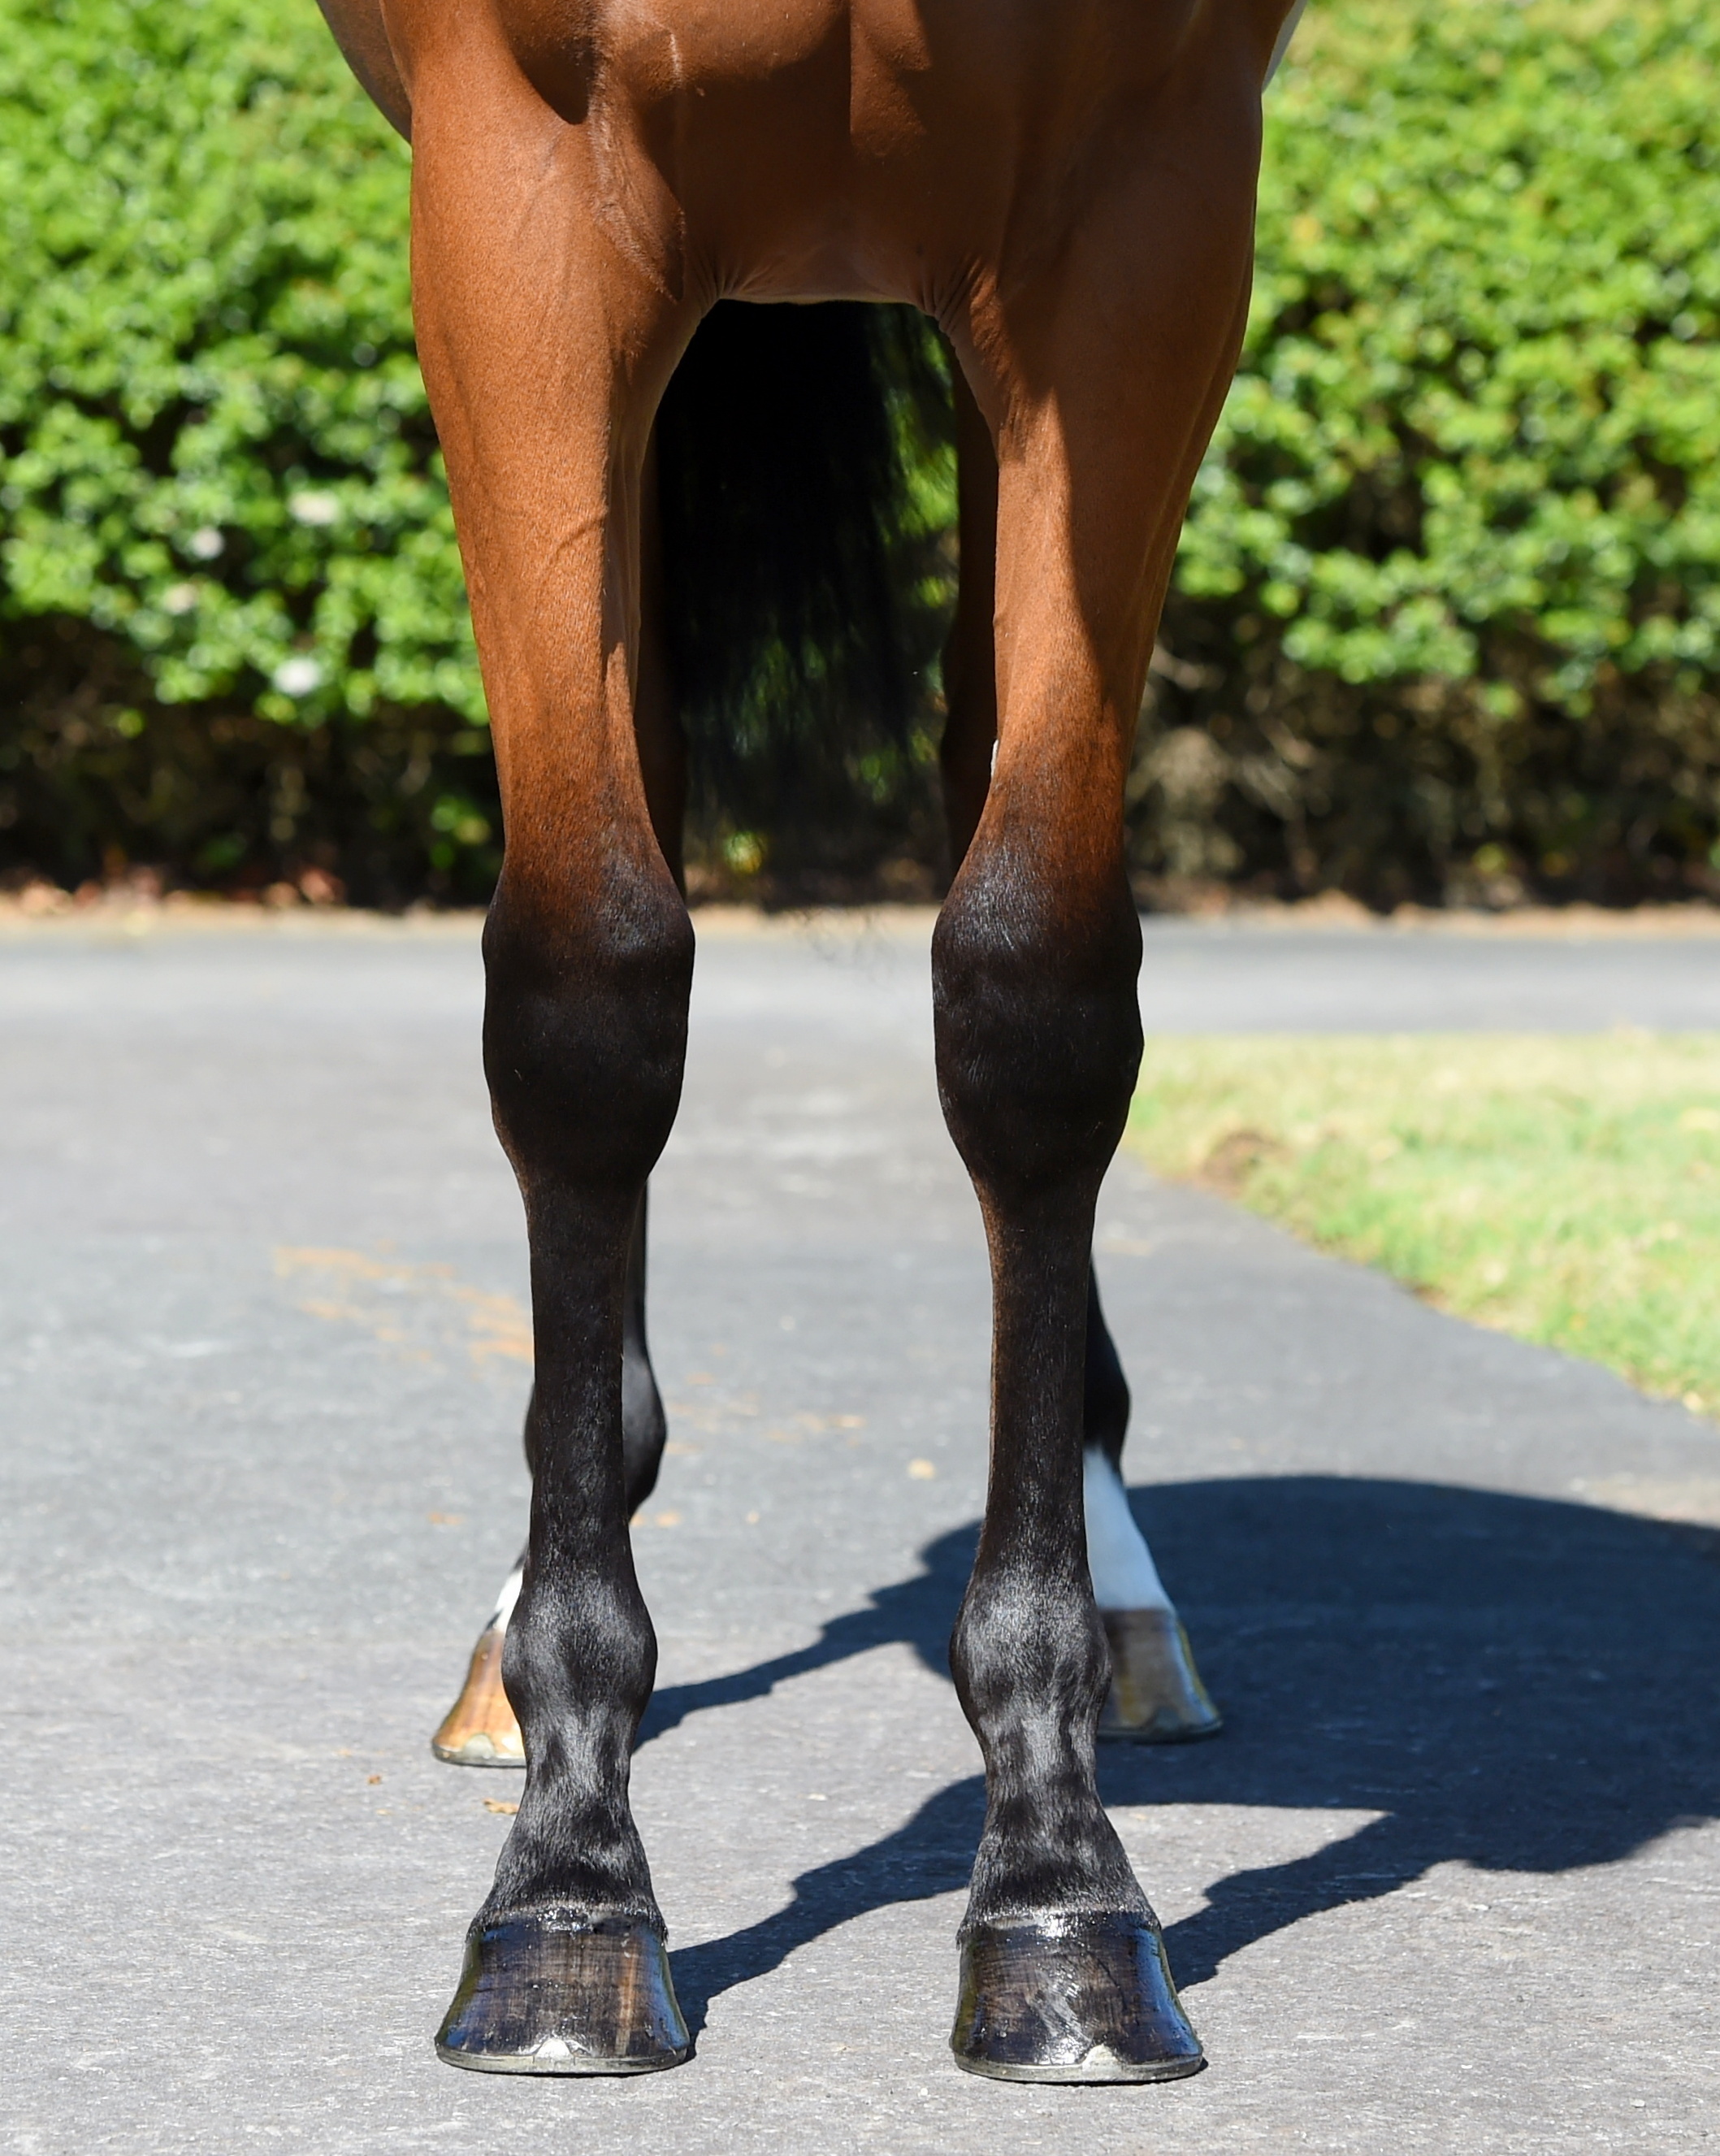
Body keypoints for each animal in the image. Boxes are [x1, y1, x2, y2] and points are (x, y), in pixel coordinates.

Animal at [313, 0, 1305, 2084]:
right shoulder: (525, 209)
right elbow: (590, 993)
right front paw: (569, 1895)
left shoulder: (1141, 209)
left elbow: (1035, 1002)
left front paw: (1056, 1885)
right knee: (652, 786)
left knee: (970, 760)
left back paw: (1116, 1601)